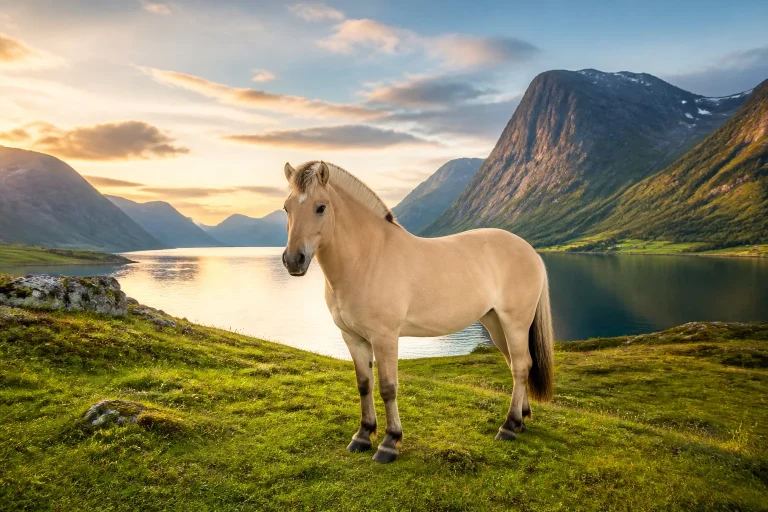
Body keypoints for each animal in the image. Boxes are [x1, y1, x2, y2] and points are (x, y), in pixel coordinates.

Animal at [281, 161, 554, 463]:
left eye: (320, 207)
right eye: (286, 207)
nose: (293, 260)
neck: (367, 257)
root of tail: (531, 251)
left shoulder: (385, 337)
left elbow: (388, 387)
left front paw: (389, 442)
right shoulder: (353, 338)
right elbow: (364, 384)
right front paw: (363, 435)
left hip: (515, 322)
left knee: (520, 366)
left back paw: (508, 426)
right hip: (495, 323)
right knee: (518, 363)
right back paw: (521, 419)